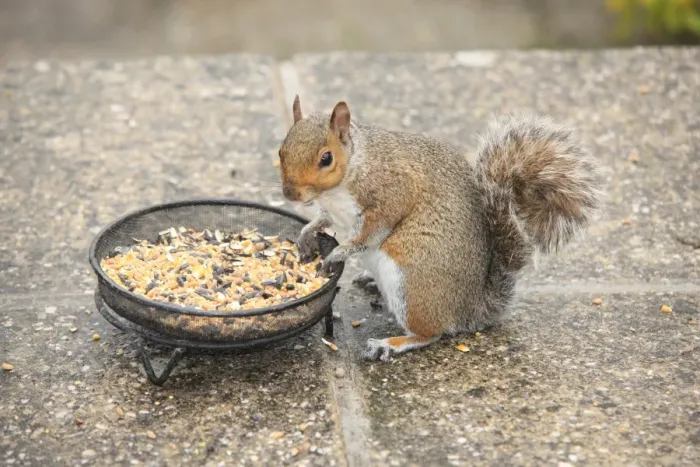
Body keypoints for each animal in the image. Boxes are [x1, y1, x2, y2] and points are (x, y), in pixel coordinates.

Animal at [278, 96, 603, 362]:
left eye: (326, 158)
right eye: (281, 150)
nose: (290, 194)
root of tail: (471, 309)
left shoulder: (392, 194)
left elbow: (368, 235)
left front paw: (338, 254)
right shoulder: (335, 212)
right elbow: (323, 221)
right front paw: (306, 235)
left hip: (411, 281)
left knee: (431, 333)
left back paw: (390, 343)